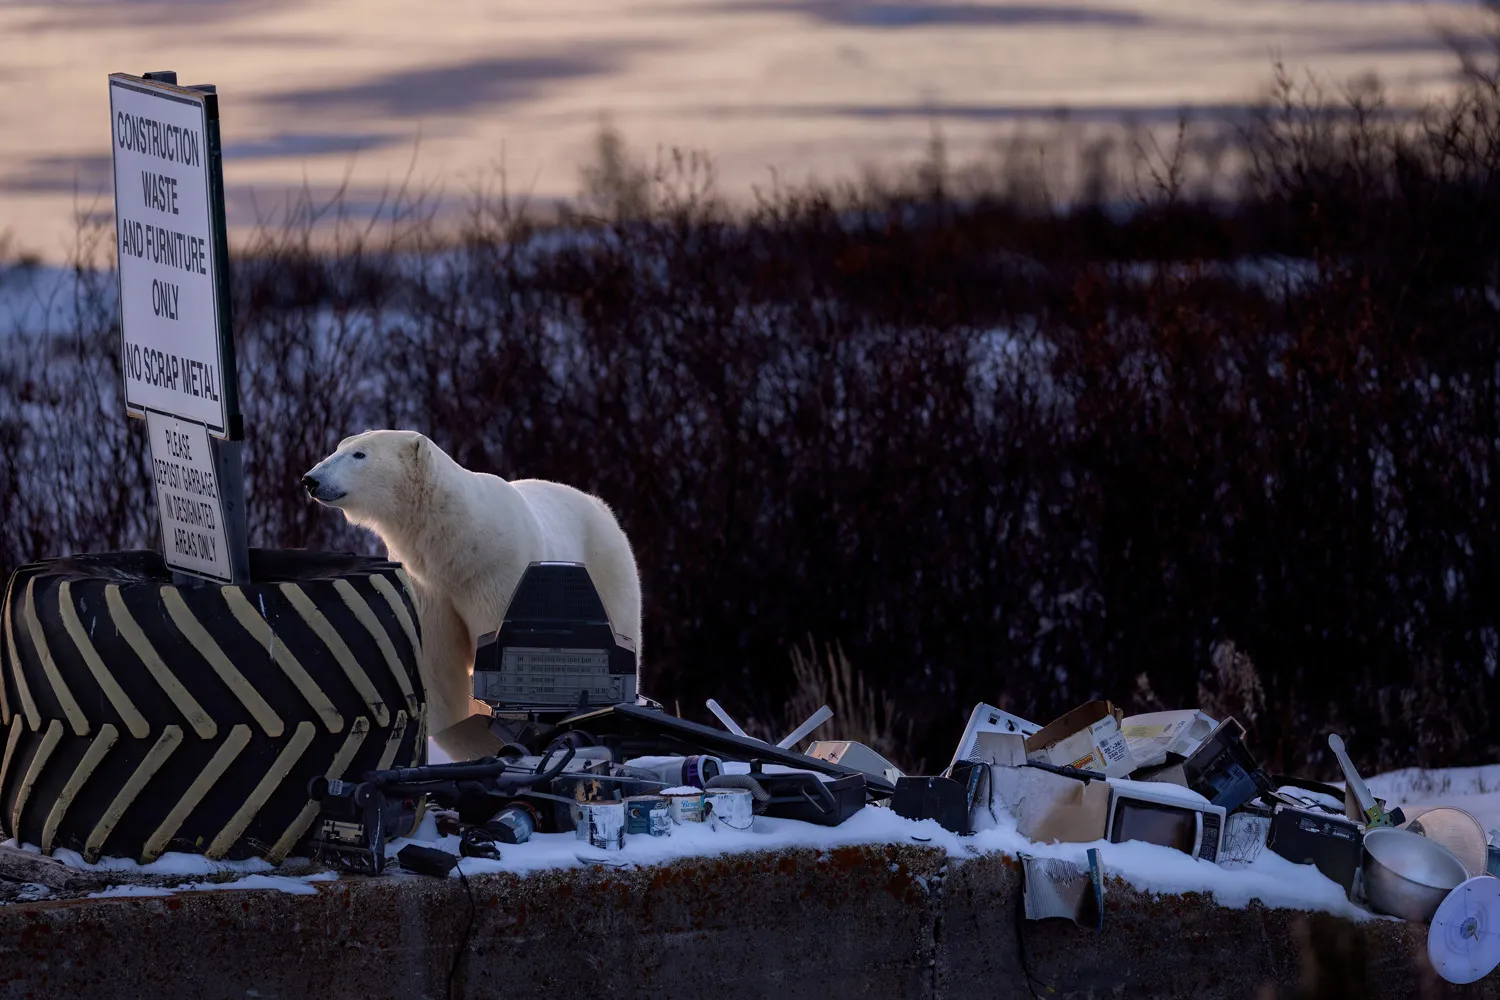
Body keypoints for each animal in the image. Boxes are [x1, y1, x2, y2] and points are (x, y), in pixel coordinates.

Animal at [301, 429, 643, 745]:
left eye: (360, 454)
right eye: (339, 447)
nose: (310, 479)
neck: (458, 542)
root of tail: (600, 505)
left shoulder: (497, 578)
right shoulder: (429, 588)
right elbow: (438, 666)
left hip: (608, 569)